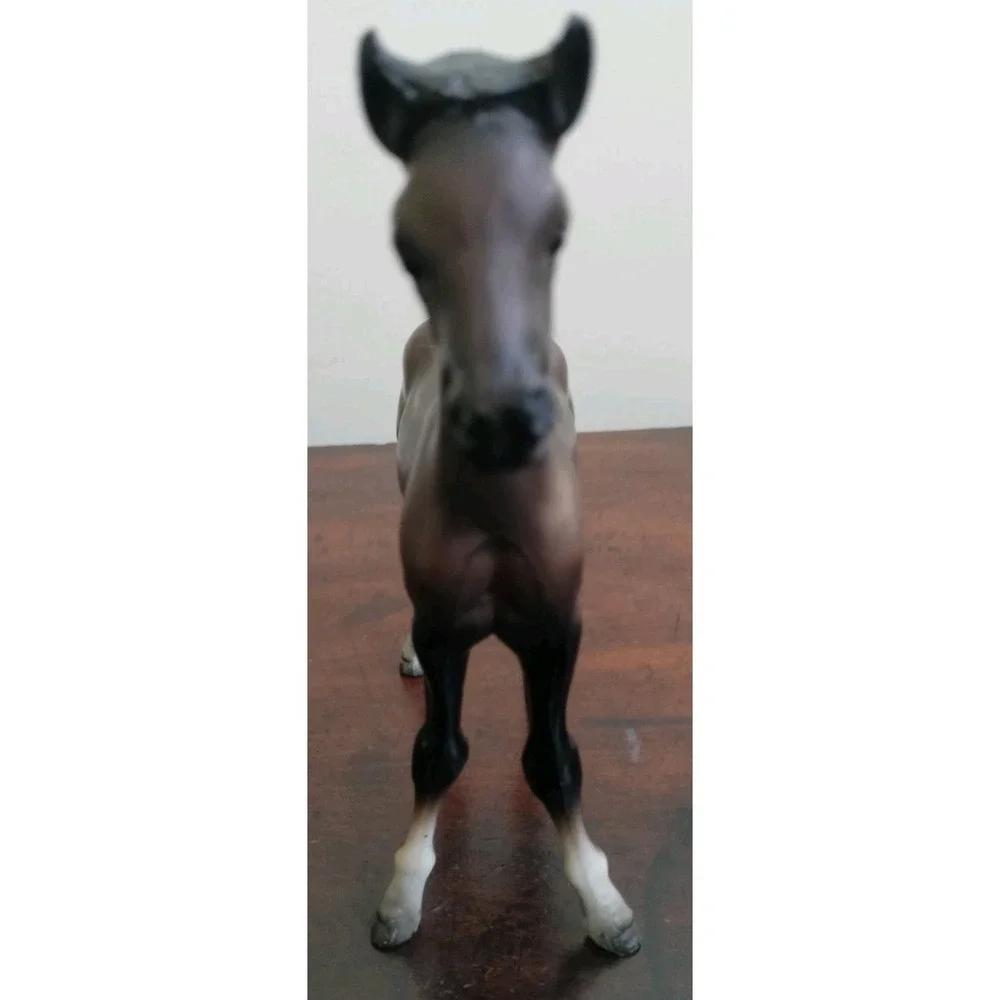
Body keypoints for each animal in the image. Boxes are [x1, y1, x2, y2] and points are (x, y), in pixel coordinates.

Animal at [356, 16, 640, 958]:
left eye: (556, 229)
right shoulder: (448, 625)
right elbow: (437, 751)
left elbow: (551, 759)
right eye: (407, 243)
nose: (504, 422)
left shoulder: (555, 627)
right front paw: (403, 895)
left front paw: (603, 904)